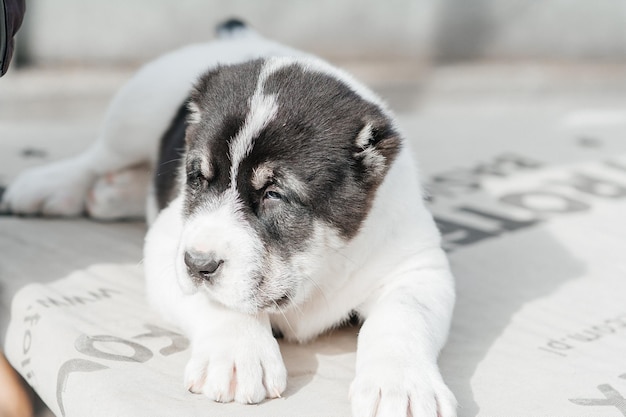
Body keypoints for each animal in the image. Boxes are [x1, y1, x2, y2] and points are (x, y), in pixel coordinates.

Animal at [2, 21, 456, 416]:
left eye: (274, 194)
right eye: (197, 178)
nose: (198, 264)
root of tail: (241, 34)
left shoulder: (417, 267)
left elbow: (402, 316)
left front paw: (404, 386)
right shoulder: (170, 244)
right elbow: (217, 299)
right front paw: (239, 353)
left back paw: (113, 194)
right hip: (134, 113)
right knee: (96, 157)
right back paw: (47, 187)